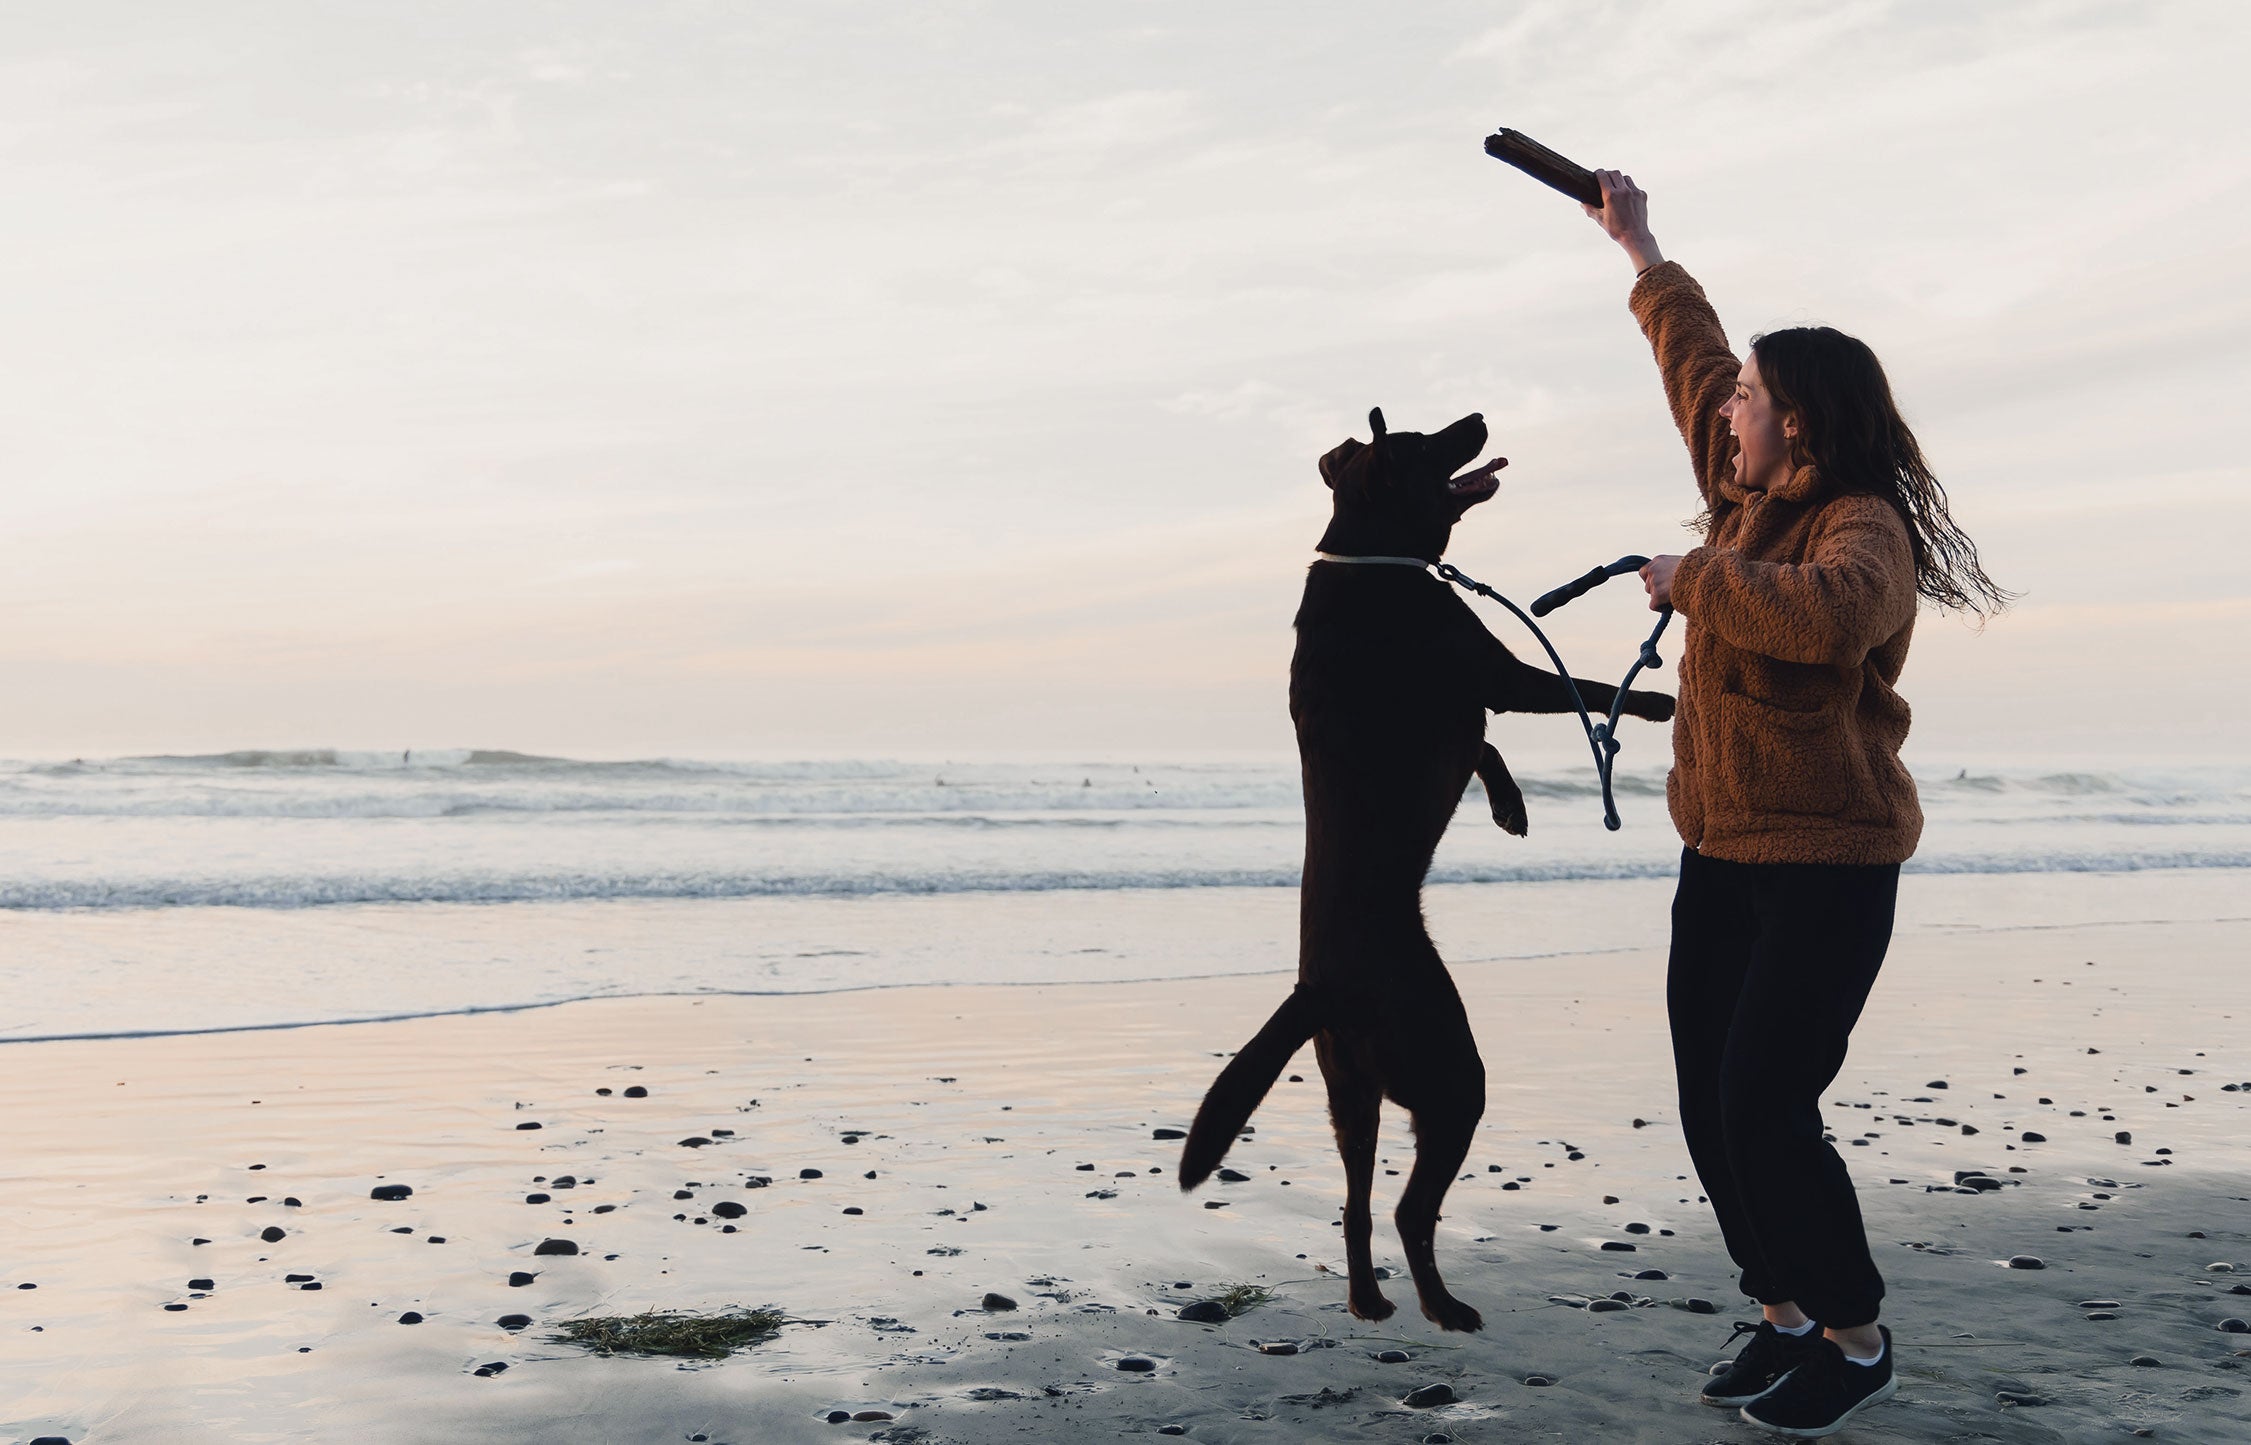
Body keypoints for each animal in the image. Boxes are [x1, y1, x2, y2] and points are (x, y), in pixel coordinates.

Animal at [1179, 405, 1674, 1332]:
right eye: (1418, 442)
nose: (1476, 417)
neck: (1375, 557)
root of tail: (1316, 989)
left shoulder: (1468, 704)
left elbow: (1484, 748)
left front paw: (1510, 805)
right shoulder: (1493, 672)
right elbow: (1578, 689)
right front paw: (1659, 700)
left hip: (1351, 1094)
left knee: (1357, 1204)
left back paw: (1372, 1300)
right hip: (1449, 1073)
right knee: (1411, 1208)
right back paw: (1444, 1306)